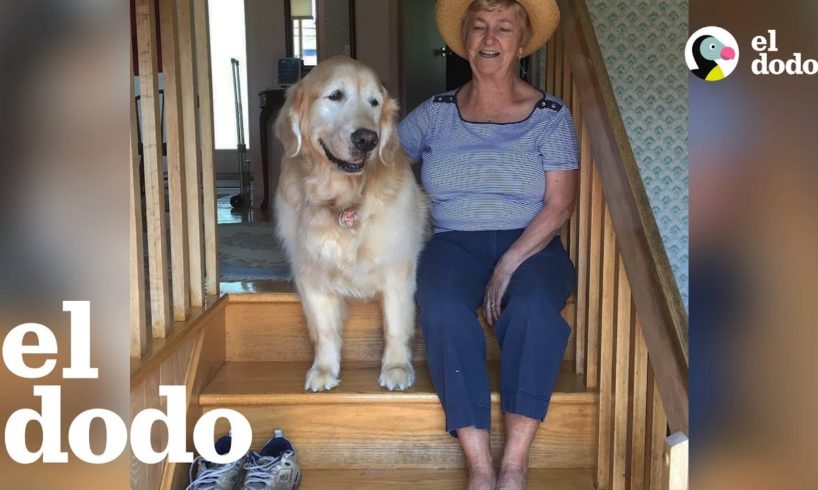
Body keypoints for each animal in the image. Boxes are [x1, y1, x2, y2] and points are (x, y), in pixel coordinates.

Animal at [274, 55, 430, 392]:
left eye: (374, 102)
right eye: (335, 96)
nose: (367, 139)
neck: (341, 200)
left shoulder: (398, 270)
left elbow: (396, 325)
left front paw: (396, 368)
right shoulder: (311, 274)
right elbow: (324, 330)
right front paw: (323, 369)